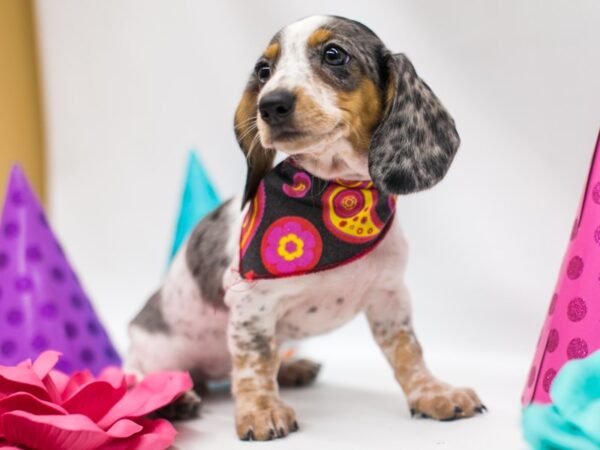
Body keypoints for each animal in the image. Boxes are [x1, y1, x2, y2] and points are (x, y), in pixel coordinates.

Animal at [125, 14, 482, 442]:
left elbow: (408, 352)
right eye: (264, 70)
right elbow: (255, 360)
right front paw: (261, 411)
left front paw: (432, 393)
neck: (336, 195)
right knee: (132, 376)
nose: (269, 105)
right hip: (151, 350)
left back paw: (292, 368)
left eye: (334, 54)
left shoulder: (390, 297)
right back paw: (174, 398)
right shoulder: (251, 305)